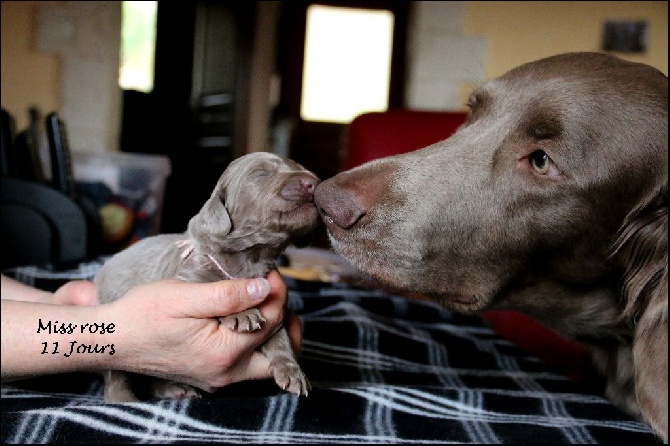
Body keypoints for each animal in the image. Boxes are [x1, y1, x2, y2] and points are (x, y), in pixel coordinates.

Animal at [95, 152, 322, 402]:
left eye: (298, 167)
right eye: (260, 174)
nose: (313, 183)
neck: (252, 257)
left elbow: (279, 336)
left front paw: (292, 371)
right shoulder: (187, 277)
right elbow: (210, 282)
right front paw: (241, 313)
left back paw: (174, 388)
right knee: (115, 372)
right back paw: (123, 399)